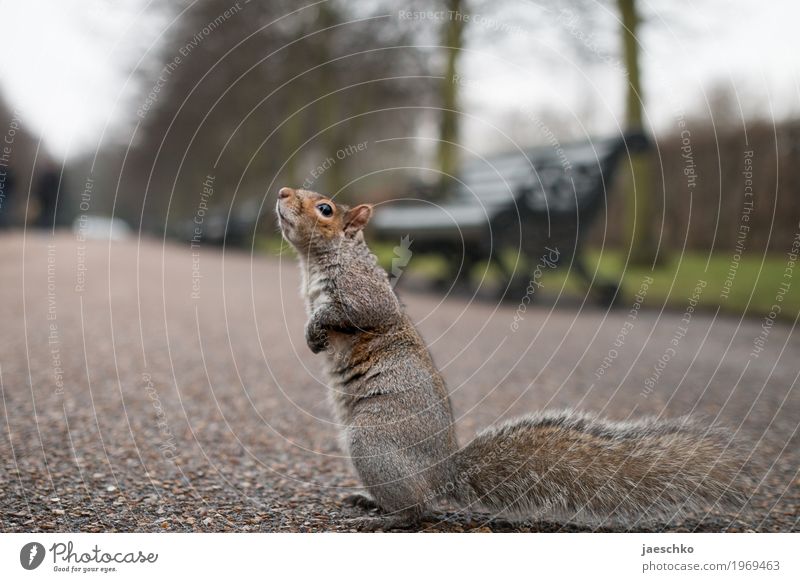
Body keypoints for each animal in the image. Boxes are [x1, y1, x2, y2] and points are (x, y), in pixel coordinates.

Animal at [276, 188, 752, 532]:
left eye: (325, 208)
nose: (282, 192)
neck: (315, 262)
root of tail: (444, 474)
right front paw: (310, 337)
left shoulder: (365, 292)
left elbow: (362, 312)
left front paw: (317, 328)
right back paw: (368, 502)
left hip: (373, 444)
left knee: (418, 510)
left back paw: (384, 517)